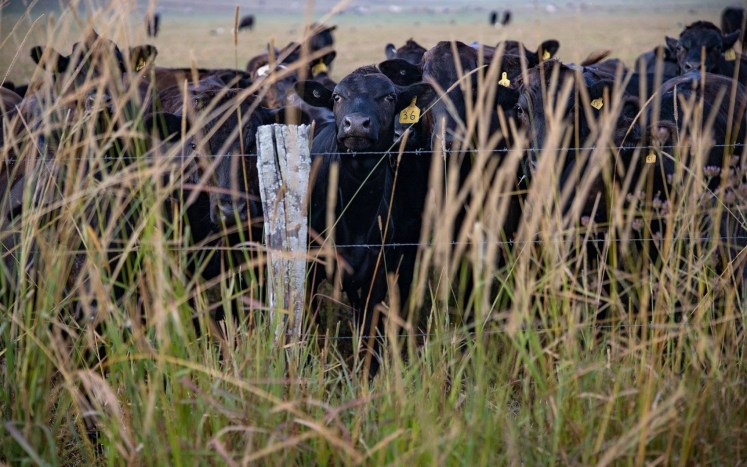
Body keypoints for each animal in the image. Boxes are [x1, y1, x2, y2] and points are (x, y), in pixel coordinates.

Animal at [295, 65, 435, 376]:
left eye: (389, 97)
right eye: (337, 96)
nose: (356, 124)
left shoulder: (378, 272)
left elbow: (369, 332)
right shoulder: (311, 268)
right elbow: (310, 324)